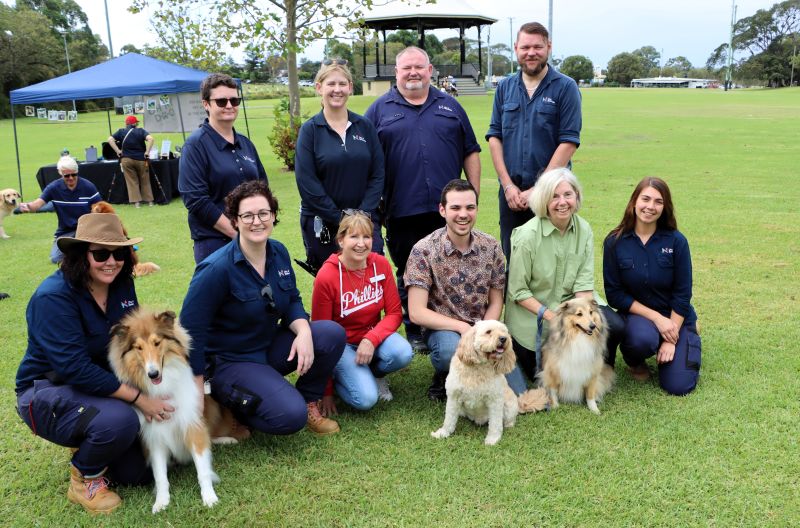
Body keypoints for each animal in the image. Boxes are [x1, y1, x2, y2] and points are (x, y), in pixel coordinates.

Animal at [109, 310, 220, 512]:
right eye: (138, 348)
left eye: (157, 342)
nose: (152, 374)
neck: (163, 386)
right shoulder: (155, 437)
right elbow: (160, 476)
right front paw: (161, 502)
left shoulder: (193, 426)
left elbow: (203, 470)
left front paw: (209, 497)